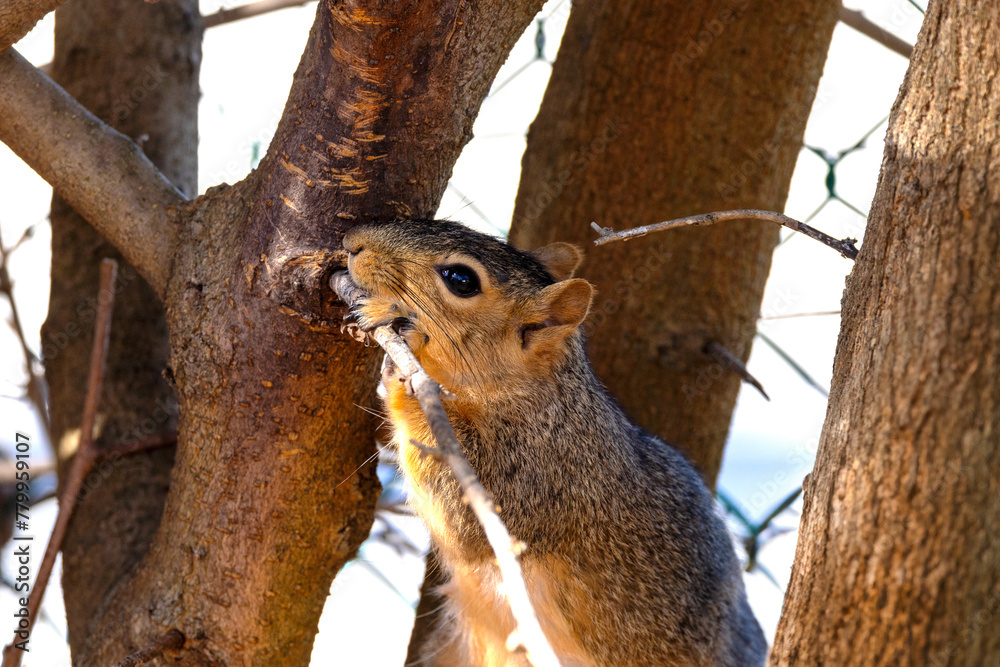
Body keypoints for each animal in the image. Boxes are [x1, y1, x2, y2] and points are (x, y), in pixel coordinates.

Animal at [342, 220, 764, 667]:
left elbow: (464, 522)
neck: (536, 395)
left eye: (461, 280)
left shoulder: (542, 473)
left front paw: (403, 349)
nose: (354, 243)